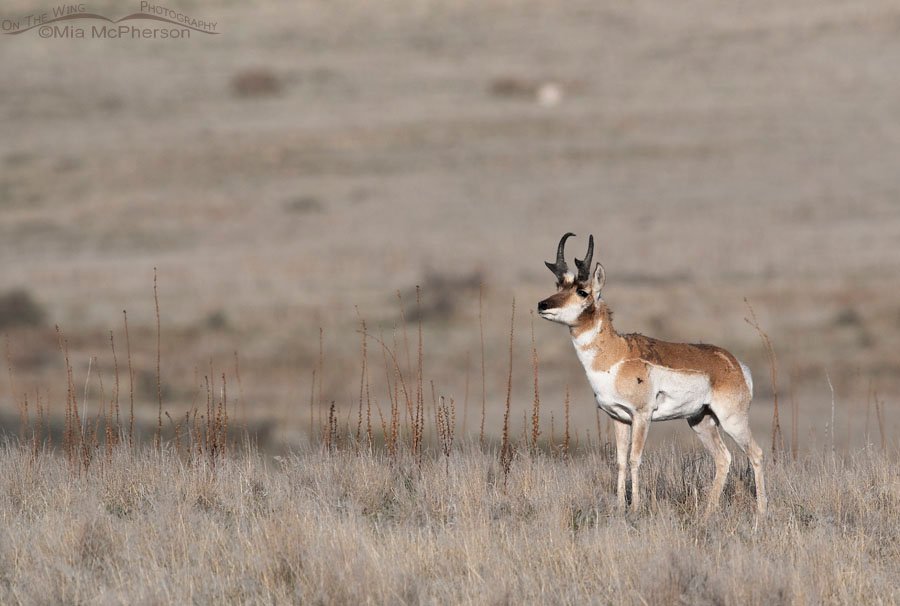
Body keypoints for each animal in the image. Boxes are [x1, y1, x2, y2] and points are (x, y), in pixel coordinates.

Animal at [537, 233, 766, 516]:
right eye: (559, 285)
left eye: (582, 291)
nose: (542, 304)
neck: (617, 354)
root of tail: (735, 364)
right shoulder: (619, 418)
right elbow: (620, 461)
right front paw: (619, 506)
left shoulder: (642, 416)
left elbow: (635, 459)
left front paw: (635, 506)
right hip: (700, 421)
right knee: (723, 458)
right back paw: (707, 511)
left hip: (732, 419)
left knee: (755, 453)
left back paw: (762, 511)